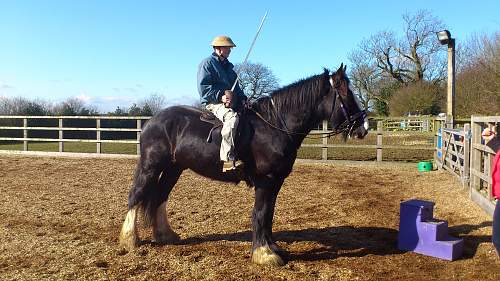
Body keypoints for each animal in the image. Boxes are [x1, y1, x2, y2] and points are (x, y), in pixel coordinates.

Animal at [117, 63, 368, 264]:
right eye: (346, 94)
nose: (362, 128)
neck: (275, 126)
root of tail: (152, 121)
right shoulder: (266, 181)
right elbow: (260, 213)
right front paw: (264, 253)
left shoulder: (275, 182)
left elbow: (268, 214)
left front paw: (271, 247)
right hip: (151, 166)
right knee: (136, 195)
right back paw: (129, 240)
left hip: (174, 168)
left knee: (160, 197)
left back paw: (165, 236)